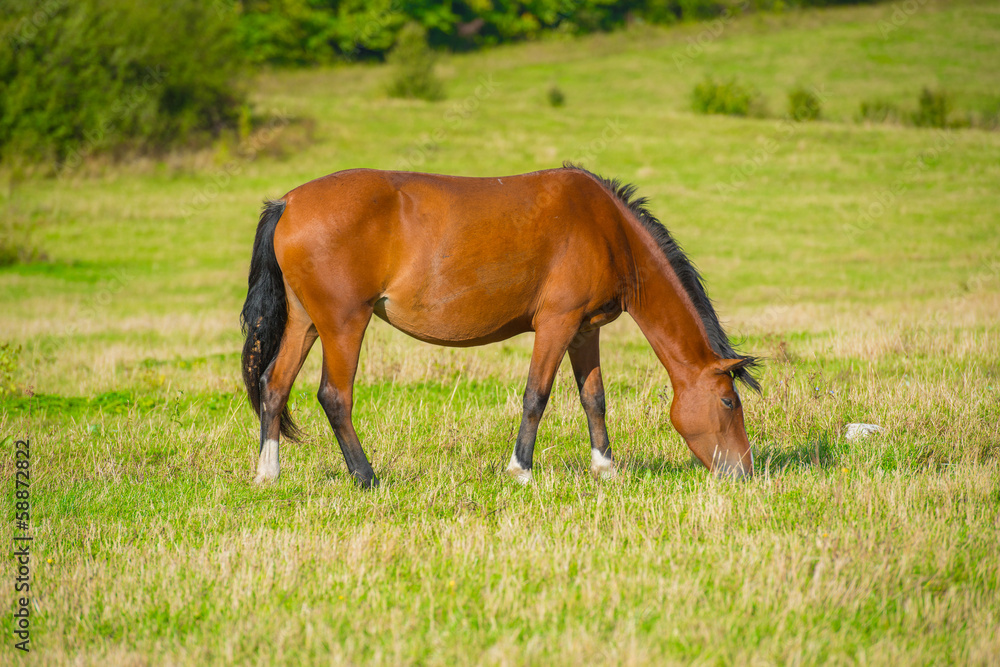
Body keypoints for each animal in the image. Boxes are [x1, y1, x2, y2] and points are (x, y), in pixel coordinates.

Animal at [240, 164, 756, 488]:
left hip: (306, 322)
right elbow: (536, 396)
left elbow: (594, 398)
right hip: (344, 323)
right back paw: (366, 476)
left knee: (274, 385)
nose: (745, 472)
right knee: (334, 396)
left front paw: (605, 468)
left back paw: (269, 473)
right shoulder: (557, 324)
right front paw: (520, 470)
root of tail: (287, 203)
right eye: (729, 401)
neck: (608, 228)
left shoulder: (585, 330)